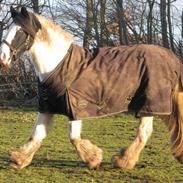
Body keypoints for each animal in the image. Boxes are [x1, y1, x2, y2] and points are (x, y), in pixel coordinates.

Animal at [0, 6, 183, 170]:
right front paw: (18, 160)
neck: (57, 65)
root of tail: (171, 57)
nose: (3, 58)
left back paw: (122, 161)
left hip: (149, 104)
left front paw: (94, 159)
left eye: (20, 31)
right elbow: (35, 135)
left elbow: (73, 138)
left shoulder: (75, 108)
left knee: (144, 132)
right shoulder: (47, 108)